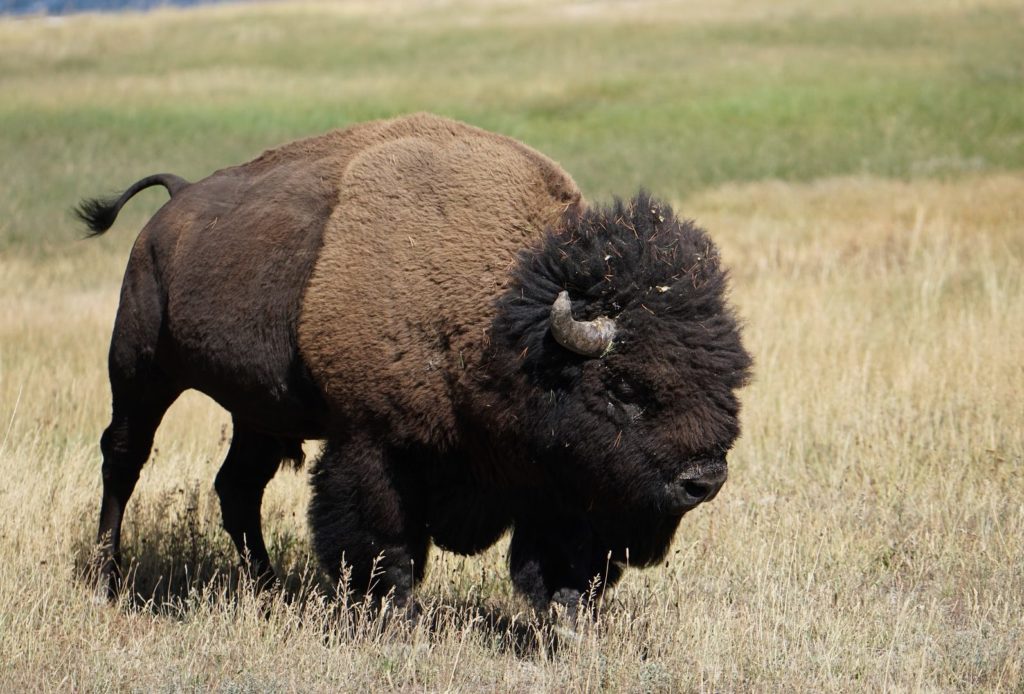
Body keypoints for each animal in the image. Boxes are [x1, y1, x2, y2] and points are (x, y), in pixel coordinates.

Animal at [79, 114, 753, 614]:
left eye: (728, 382)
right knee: (124, 457)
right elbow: (384, 542)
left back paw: (266, 591)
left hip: (259, 414)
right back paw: (108, 580)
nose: (704, 480)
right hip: (139, 369)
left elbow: (562, 549)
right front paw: (392, 614)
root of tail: (175, 204)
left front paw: (566, 616)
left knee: (237, 488)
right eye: (624, 389)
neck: (502, 324)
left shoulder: (559, 476)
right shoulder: (372, 443)